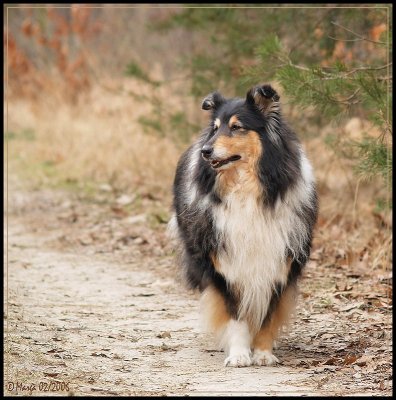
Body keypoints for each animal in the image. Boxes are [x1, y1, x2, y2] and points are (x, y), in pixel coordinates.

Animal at [169, 83, 318, 366]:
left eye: (237, 127)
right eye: (216, 127)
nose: (205, 151)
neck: (247, 190)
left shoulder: (278, 263)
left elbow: (268, 315)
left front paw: (262, 353)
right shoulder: (225, 265)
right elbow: (235, 314)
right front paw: (239, 354)